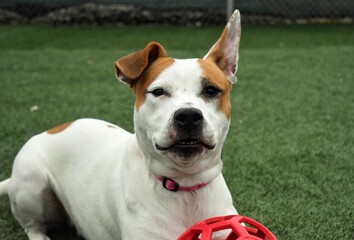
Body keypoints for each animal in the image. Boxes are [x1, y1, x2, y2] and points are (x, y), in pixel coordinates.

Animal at [0, 9, 241, 240]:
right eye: (158, 91)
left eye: (211, 90)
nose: (189, 115)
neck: (185, 187)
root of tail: (51, 130)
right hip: (31, 182)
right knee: (33, 227)